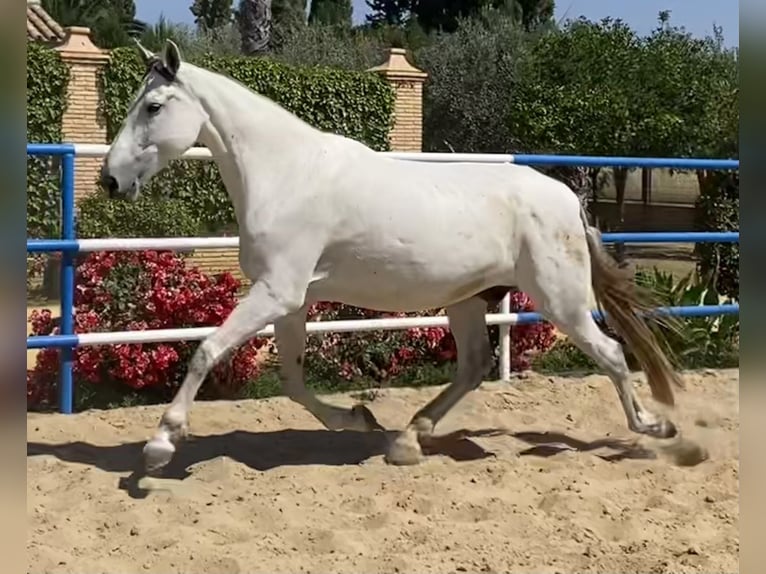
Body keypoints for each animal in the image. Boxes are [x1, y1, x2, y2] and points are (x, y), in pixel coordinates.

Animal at [100, 39, 684, 472]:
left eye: (153, 107)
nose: (110, 180)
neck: (288, 174)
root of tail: (567, 199)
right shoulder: (291, 300)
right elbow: (292, 380)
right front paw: (360, 420)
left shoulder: (275, 293)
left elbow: (205, 351)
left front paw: (160, 446)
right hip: (470, 299)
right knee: (475, 365)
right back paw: (407, 439)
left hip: (558, 299)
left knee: (611, 353)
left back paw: (659, 429)